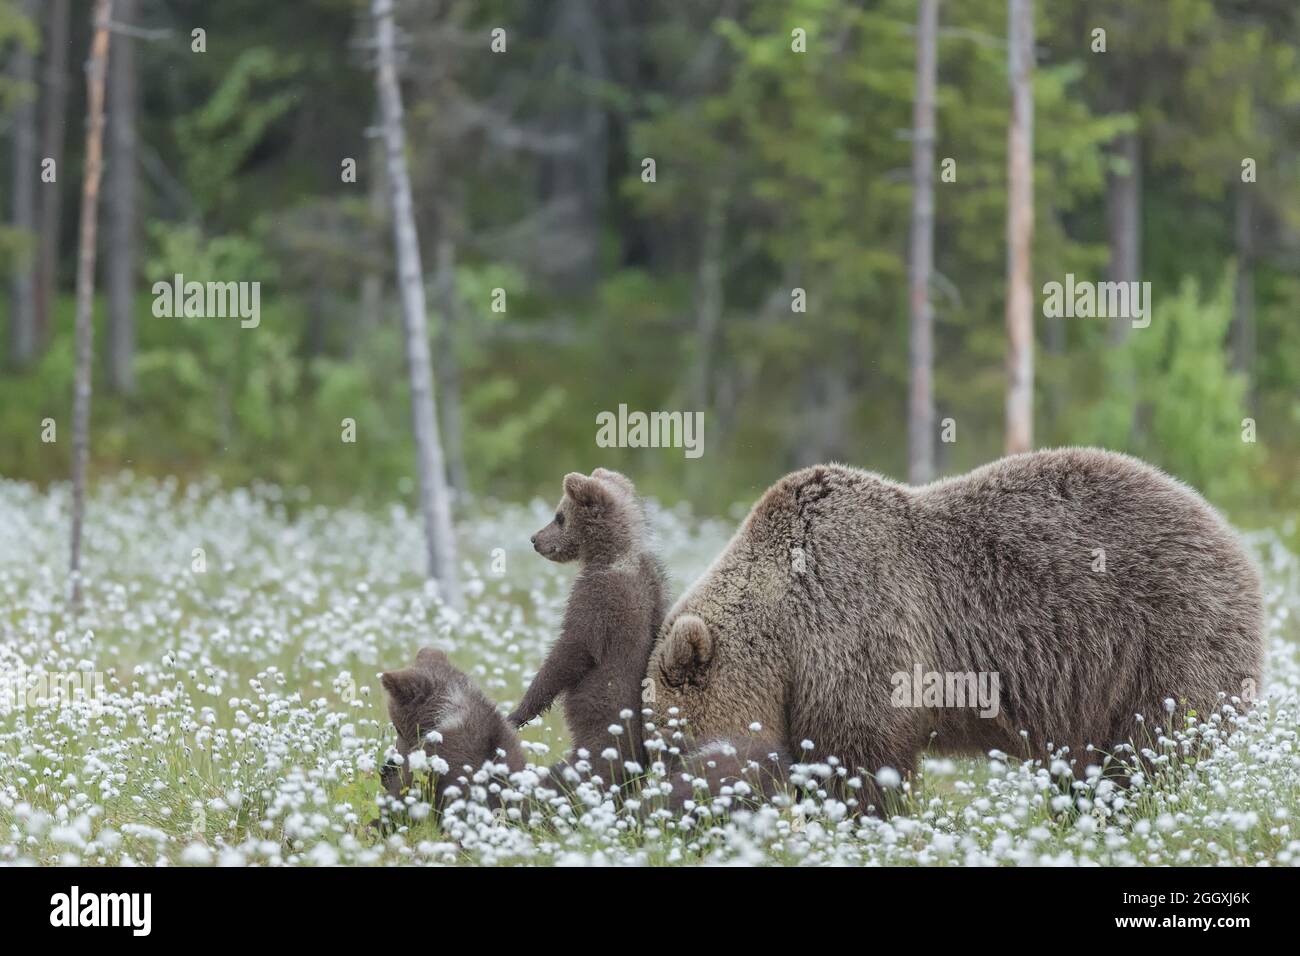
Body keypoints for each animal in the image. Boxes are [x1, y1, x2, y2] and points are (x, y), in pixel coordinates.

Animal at [510, 468, 670, 770]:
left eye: (559, 516)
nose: (535, 539)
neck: (613, 553)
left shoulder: (597, 598)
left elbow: (571, 650)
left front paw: (519, 712)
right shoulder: (657, 591)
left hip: (601, 730)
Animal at [647, 448, 1264, 806]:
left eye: (668, 743)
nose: (664, 806)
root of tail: (1234, 539)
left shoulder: (859, 630)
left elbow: (861, 758)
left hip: (1163, 638)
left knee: (1151, 749)